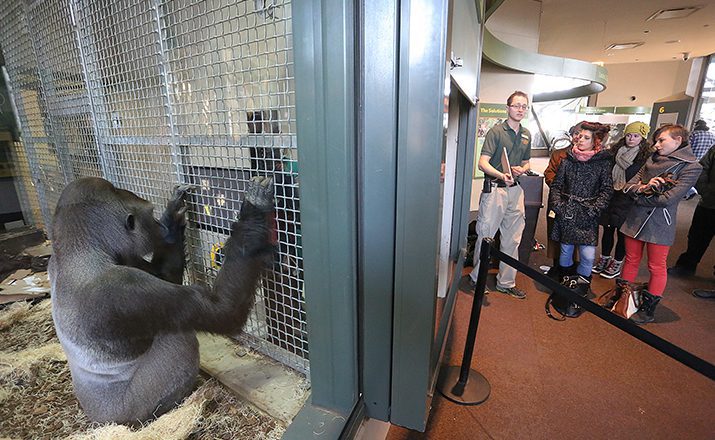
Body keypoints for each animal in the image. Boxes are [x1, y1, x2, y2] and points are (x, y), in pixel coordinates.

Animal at [47, 174, 276, 422]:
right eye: (148, 216)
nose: (158, 225)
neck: (77, 251)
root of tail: (95, 417)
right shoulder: (126, 287)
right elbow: (224, 310)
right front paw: (253, 211)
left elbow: (164, 275)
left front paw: (172, 218)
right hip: (130, 411)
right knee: (178, 337)